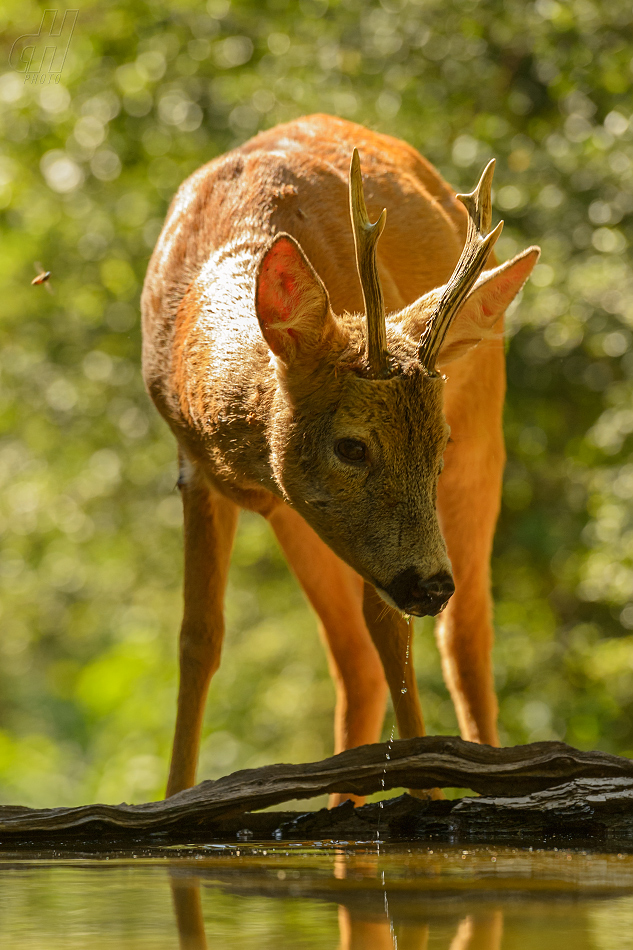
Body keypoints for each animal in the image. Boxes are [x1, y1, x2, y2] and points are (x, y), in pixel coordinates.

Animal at [141, 111, 536, 800]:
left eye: (437, 444)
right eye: (351, 445)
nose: (430, 582)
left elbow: (395, 631)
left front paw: (426, 789)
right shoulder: (196, 472)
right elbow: (198, 640)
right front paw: (176, 796)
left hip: (485, 440)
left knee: (462, 636)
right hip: (311, 526)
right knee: (357, 661)